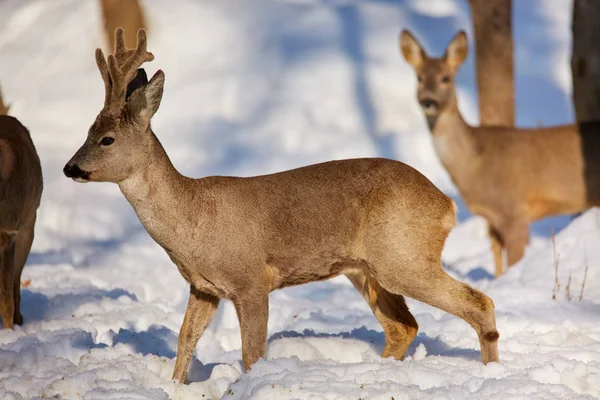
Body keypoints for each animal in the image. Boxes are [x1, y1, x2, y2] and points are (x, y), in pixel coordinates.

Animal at [63, 28, 500, 382]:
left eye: (107, 139)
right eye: (86, 131)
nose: (70, 168)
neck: (194, 219)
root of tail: (446, 204)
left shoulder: (251, 280)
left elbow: (251, 353)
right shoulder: (203, 287)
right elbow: (185, 340)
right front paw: (175, 387)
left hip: (403, 254)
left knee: (478, 301)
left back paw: (492, 372)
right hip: (366, 267)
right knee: (403, 326)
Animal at [400, 28, 600, 278]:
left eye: (445, 78)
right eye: (418, 78)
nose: (428, 101)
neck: (475, 163)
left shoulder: (515, 212)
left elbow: (513, 263)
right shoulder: (492, 219)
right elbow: (497, 264)